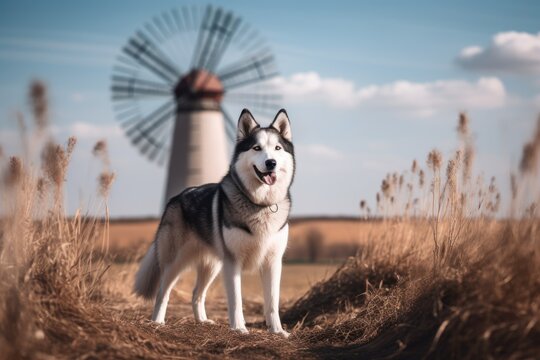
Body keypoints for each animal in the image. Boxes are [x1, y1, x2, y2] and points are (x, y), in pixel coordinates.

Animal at [134, 108, 296, 336]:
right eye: (256, 148)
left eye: (277, 148)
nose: (271, 162)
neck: (260, 204)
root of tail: (176, 198)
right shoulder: (233, 262)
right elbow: (236, 300)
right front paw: (239, 329)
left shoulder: (273, 262)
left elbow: (272, 302)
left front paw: (278, 331)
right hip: (175, 262)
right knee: (162, 292)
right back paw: (157, 323)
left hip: (212, 266)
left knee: (197, 293)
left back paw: (202, 321)